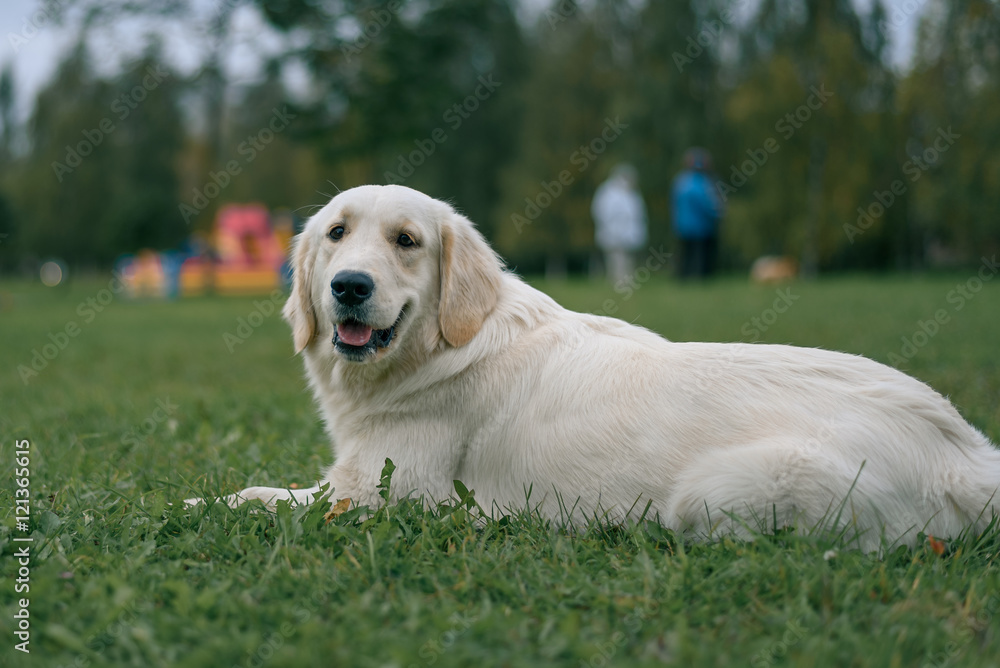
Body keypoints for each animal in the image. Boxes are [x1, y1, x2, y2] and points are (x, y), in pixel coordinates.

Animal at [191, 185, 996, 552]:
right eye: (336, 234)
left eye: (406, 240)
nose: (349, 286)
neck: (444, 346)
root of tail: (962, 452)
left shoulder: (381, 495)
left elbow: (257, 496)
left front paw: (199, 503)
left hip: (714, 494)